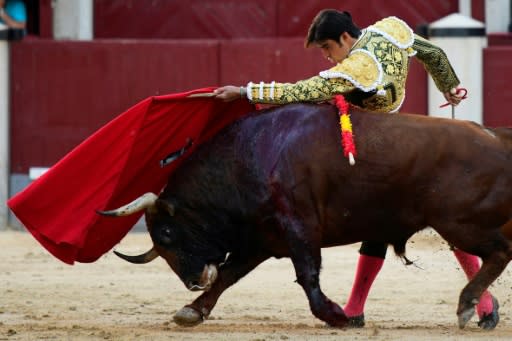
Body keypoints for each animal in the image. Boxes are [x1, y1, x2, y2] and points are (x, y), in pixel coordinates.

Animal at [99, 103, 512, 326]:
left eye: (167, 234)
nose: (192, 281)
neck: (250, 157)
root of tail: (496, 137)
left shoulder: (298, 226)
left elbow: (307, 273)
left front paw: (335, 316)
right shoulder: (262, 238)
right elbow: (229, 276)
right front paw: (192, 310)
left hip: (460, 222)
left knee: (499, 251)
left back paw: (467, 306)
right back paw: (479, 310)